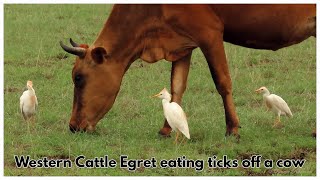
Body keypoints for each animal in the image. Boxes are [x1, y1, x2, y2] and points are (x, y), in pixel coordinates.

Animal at [59, 4, 316, 139]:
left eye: (78, 78)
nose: (73, 126)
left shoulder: (210, 34)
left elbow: (223, 82)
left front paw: (232, 127)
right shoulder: (181, 43)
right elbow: (176, 87)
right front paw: (167, 128)